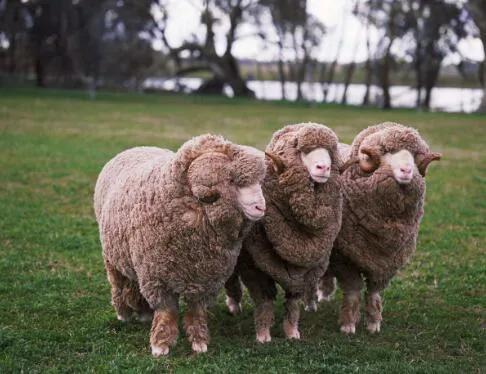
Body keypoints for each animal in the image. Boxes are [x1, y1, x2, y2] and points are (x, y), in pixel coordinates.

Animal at [94, 135, 266, 356]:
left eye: (259, 182)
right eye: (231, 181)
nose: (260, 207)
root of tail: (136, 148)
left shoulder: (205, 278)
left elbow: (196, 311)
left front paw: (199, 342)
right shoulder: (157, 278)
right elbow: (167, 312)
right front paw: (160, 345)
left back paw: (142, 312)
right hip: (111, 257)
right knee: (117, 284)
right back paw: (123, 313)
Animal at [224, 122, 342, 342]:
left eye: (330, 152)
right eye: (302, 150)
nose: (324, 167)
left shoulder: (305, 273)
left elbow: (293, 303)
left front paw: (292, 332)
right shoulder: (255, 268)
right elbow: (264, 302)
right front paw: (263, 334)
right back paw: (234, 306)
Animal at [318, 122, 442, 334]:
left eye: (413, 155)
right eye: (386, 152)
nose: (407, 170)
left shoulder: (386, 263)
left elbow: (374, 293)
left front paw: (374, 323)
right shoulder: (345, 259)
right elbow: (353, 290)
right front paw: (348, 324)